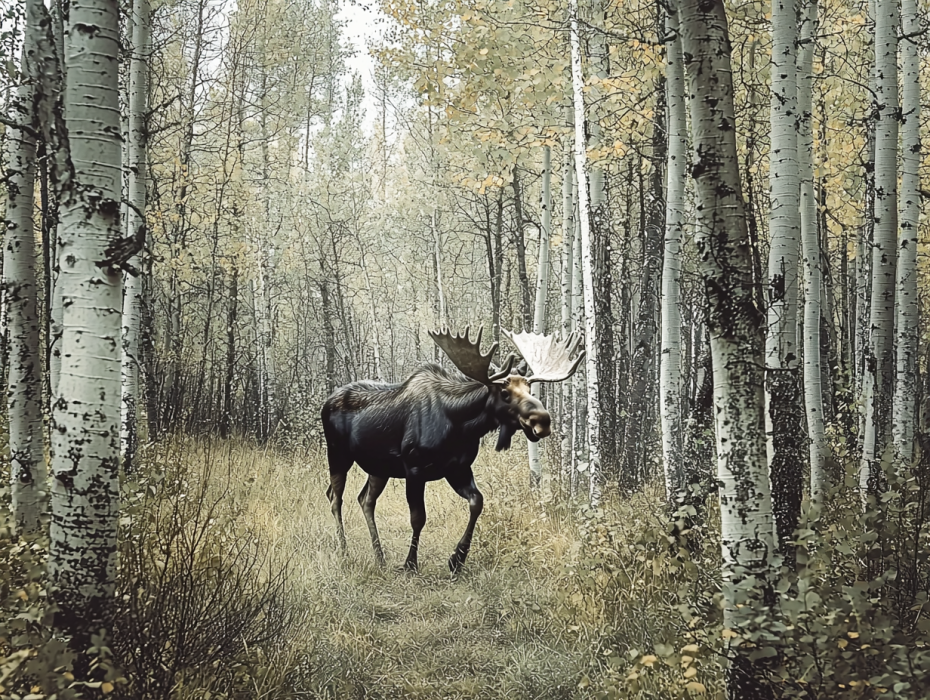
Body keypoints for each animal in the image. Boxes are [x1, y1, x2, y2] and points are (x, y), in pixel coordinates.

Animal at [320, 326, 583, 573]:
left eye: (530, 389)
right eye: (505, 393)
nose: (543, 420)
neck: (460, 426)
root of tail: (326, 402)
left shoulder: (458, 468)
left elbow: (477, 501)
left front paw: (457, 559)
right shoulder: (414, 468)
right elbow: (418, 518)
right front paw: (410, 564)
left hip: (379, 468)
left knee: (365, 499)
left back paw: (380, 557)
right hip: (337, 454)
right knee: (335, 497)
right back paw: (344, 550)